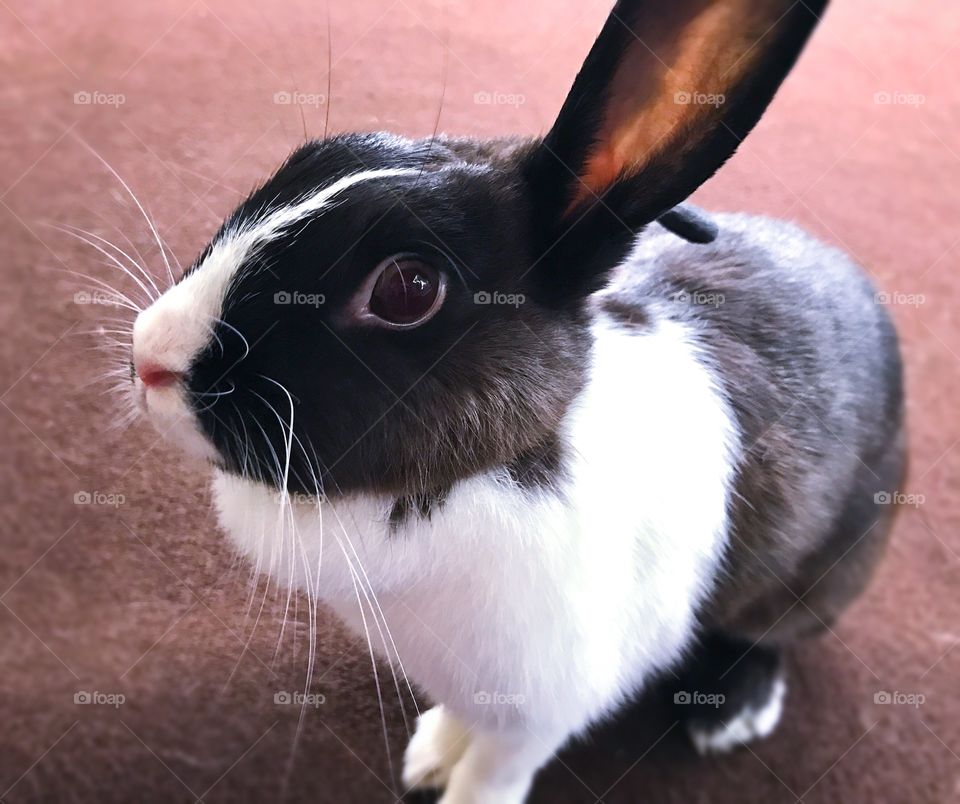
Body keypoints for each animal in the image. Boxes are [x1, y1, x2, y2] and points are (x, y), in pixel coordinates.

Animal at [128, 0, 905, 801]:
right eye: (309, 160)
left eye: (407, 289)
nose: (150, 357)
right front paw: (430, 754)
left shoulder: (541, 711)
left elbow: (494, 770)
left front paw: (457, 785)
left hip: (820, 574)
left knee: (771, 633)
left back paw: (733, 708)